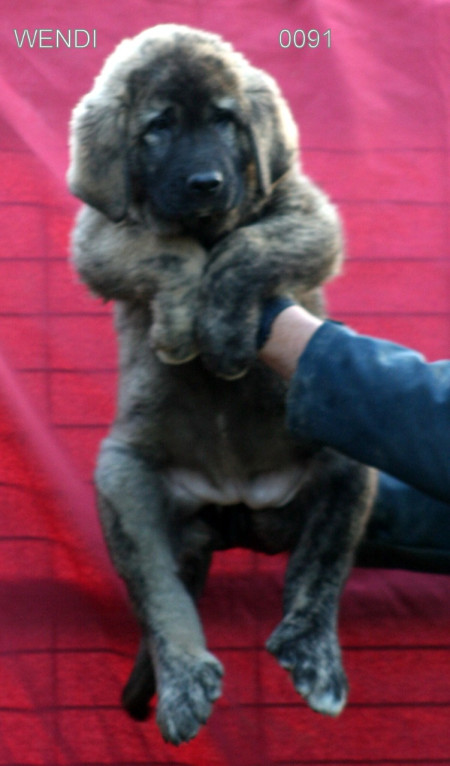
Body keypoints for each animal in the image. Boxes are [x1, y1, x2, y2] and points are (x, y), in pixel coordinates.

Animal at [68, 24, 375, 745]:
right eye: (157, 128)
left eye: (226, 121)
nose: (206, 183)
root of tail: (233, 499)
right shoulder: (99, 235)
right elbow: (167, 248)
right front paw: (185, 324)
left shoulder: (309, 215)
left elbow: (248, 249)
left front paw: (226, 333)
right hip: (122, 481)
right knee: (162, 599)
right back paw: (184, 683)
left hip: (346, 449)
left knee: (317, 571)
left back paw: (313, 656)